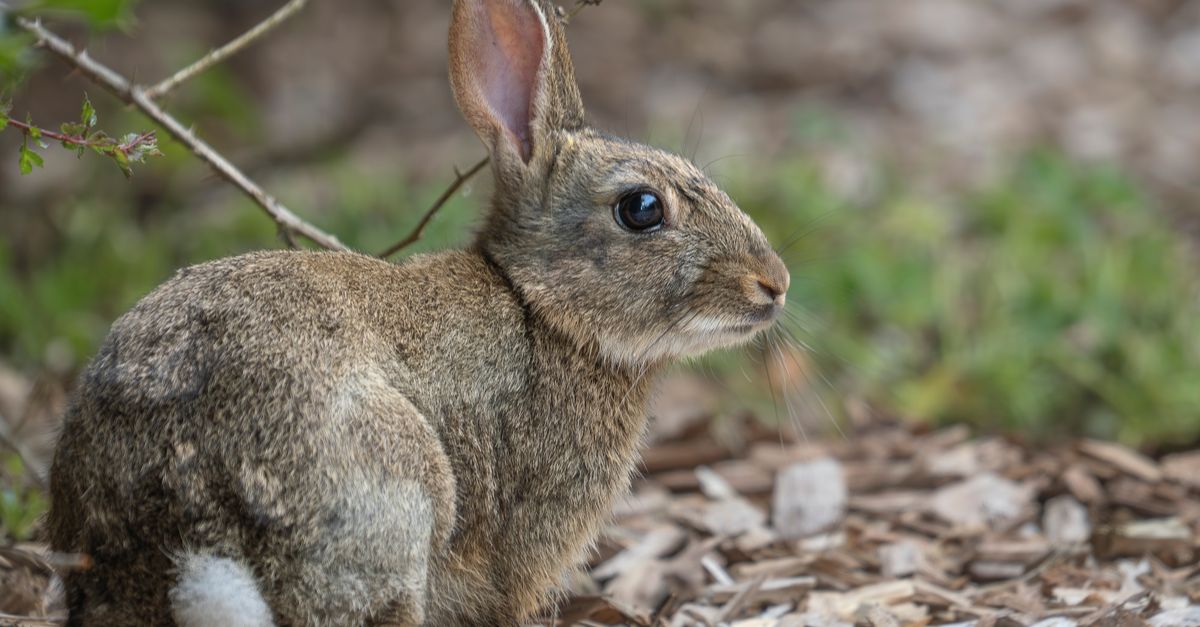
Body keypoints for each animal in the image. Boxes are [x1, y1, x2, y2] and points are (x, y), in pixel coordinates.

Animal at [45, 0, 790, 625]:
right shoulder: (522, 541)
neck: (540, 309)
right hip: (392, 492)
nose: (774, 283)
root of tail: (180, 511)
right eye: (641, 209)